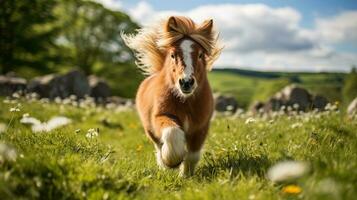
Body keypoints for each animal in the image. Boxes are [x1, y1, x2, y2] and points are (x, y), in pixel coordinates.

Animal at [122, 16, 222, 177]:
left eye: (200, 55)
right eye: (173, 55)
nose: (186, 82)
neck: (185, 102)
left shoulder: (201, 125)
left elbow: (193, 154)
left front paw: (186, 175)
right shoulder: (161, 116)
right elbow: (172, 133)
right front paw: (171, 161)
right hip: (150, 130)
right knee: (158, 146)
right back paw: (163, 163)